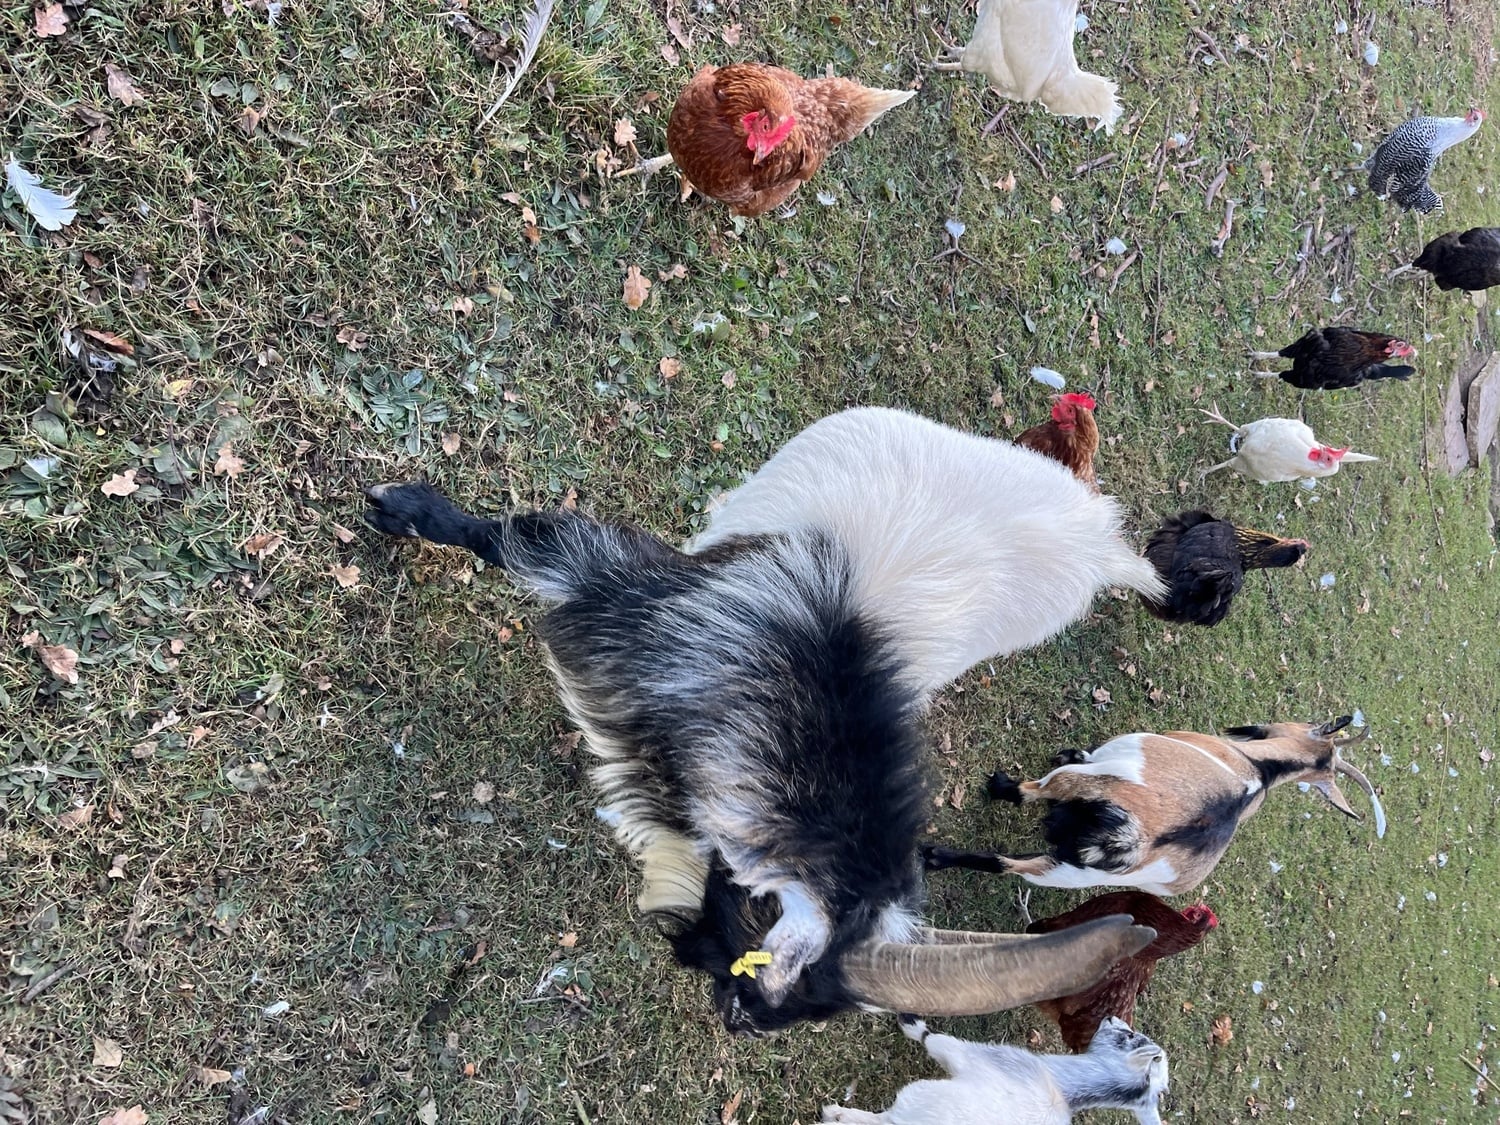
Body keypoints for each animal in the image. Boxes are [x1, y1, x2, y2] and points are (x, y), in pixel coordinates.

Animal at [822, 1015, 1168, 1125]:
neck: (1063, 1089)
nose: (1111, 1017)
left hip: (916, 1100)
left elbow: (933, 1040)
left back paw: (834, 1113)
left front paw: (911, 1022)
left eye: (1130, 1037)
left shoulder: (973, 1057)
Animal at [924, 717, 1386, 895]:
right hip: (1073, 875)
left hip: (1092, 786)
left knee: (1031, 795)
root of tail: (1136, 842)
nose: (1243, 729)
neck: (1259, 769)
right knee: (1010, 865)